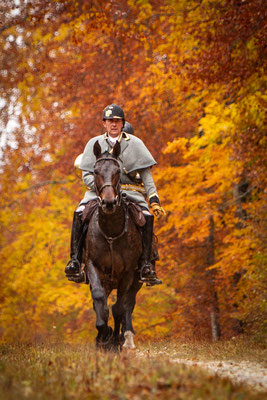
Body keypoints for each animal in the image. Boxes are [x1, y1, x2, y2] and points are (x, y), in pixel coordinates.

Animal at [84, 140, 144, 350]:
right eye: (95, 171)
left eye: (118, 170)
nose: (109, 202)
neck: (110, 231)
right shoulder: (93, 266)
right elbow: (99, 301)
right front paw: (103, 334)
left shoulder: (128, 273)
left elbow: (120, 307)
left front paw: (116, 339)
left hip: (136, 280)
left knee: (128, 304)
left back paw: (126, 337)